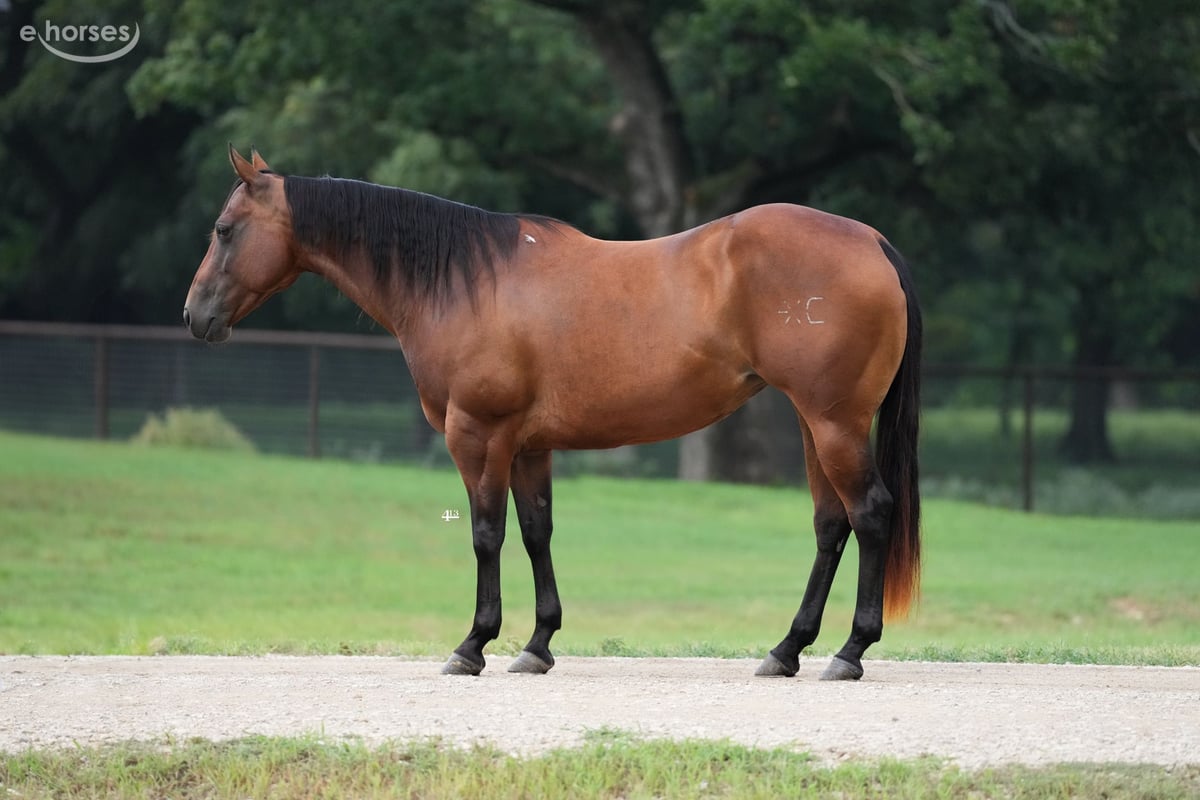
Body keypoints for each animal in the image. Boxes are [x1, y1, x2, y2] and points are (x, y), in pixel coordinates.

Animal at [184, 146, 922, 681]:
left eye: (224, 230)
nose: (195, 316)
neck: (466, 281)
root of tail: (874, 242)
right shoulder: (528, 445)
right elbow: (537, 532)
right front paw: (537, 645)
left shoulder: (477, 436)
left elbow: (486, 535)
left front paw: (473, 644)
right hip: (815, 425)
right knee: (831, 525)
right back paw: (787, 649)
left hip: (835, 425)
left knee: (870, 514)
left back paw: (849, 652)